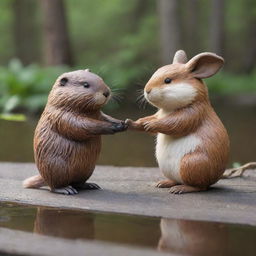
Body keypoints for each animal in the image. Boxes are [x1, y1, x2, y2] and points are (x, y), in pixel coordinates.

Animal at [127, 50, 229, 194]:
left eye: (168, 80)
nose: (147, 90)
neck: (169, 109)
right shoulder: (159, 114)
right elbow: (152, 118)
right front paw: (134, 123)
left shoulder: (193, 113)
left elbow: (174, 124)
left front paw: (151, 125)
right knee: (177, 180)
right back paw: (164, 183)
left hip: (192, 164)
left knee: (200, 186)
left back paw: (181, 188)